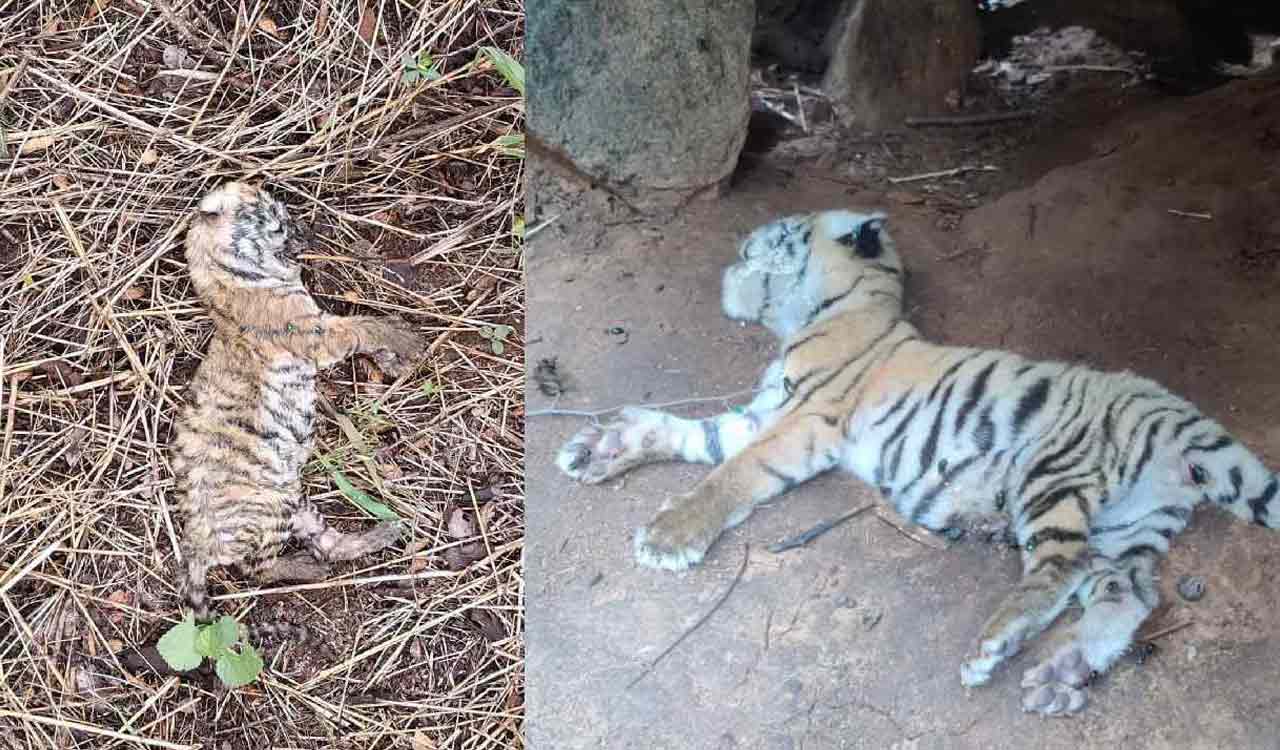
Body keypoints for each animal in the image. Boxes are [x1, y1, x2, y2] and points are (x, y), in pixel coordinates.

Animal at [172, 181, 425, 624]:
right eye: (277, 220)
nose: (308, 230)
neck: (230, 277)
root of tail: (196, 540)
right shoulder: (317, 333)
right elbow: (364, 326)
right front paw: (406, 339)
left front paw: (394, 361)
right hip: (268, 510)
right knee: (256, 569)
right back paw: (311, 566)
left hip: (294, 500)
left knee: (327, 543)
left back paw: (384, 532)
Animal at [555, 209, 1280, 716]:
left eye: (787, 229)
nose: (746, 237)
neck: (828, 310)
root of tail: (1172, 410)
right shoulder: (765, 413)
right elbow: (692, 437)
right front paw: (603, 448)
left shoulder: (803, 421)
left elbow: (730, 476)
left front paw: (667, 537)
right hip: (1129, 529)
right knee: (1127, 594)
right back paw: (1060, 675)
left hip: (1051, 479)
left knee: (1060, 571)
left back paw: (998, 644)